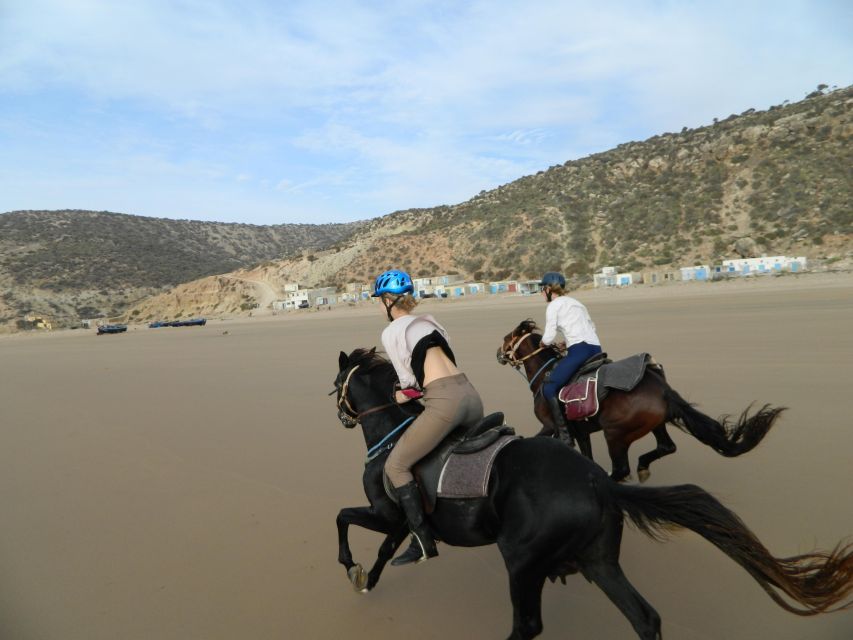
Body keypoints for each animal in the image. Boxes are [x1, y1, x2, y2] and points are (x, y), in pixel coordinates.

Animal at [334, 350, 852, 640]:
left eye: (339, 383)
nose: (338, 411)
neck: (393, 434)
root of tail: (597, 482)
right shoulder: (400, 521)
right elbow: (385, 549)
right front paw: (368, 578)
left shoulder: (387, 511)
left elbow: (345, 518)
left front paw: (350, 565)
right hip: (599, 560)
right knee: (645, 618)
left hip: (523, 560)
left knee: (528, 626)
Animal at [500, 320, 784, 480]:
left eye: (506, 339)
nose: (498, 353)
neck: (544, 374)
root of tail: (663, 390)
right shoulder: (580, 432)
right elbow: (586, 456)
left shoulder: (551, 426)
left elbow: (537, 438)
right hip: (654, 424)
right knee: (667, 447)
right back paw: (643, 467)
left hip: (615, 434)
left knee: (621, 469)